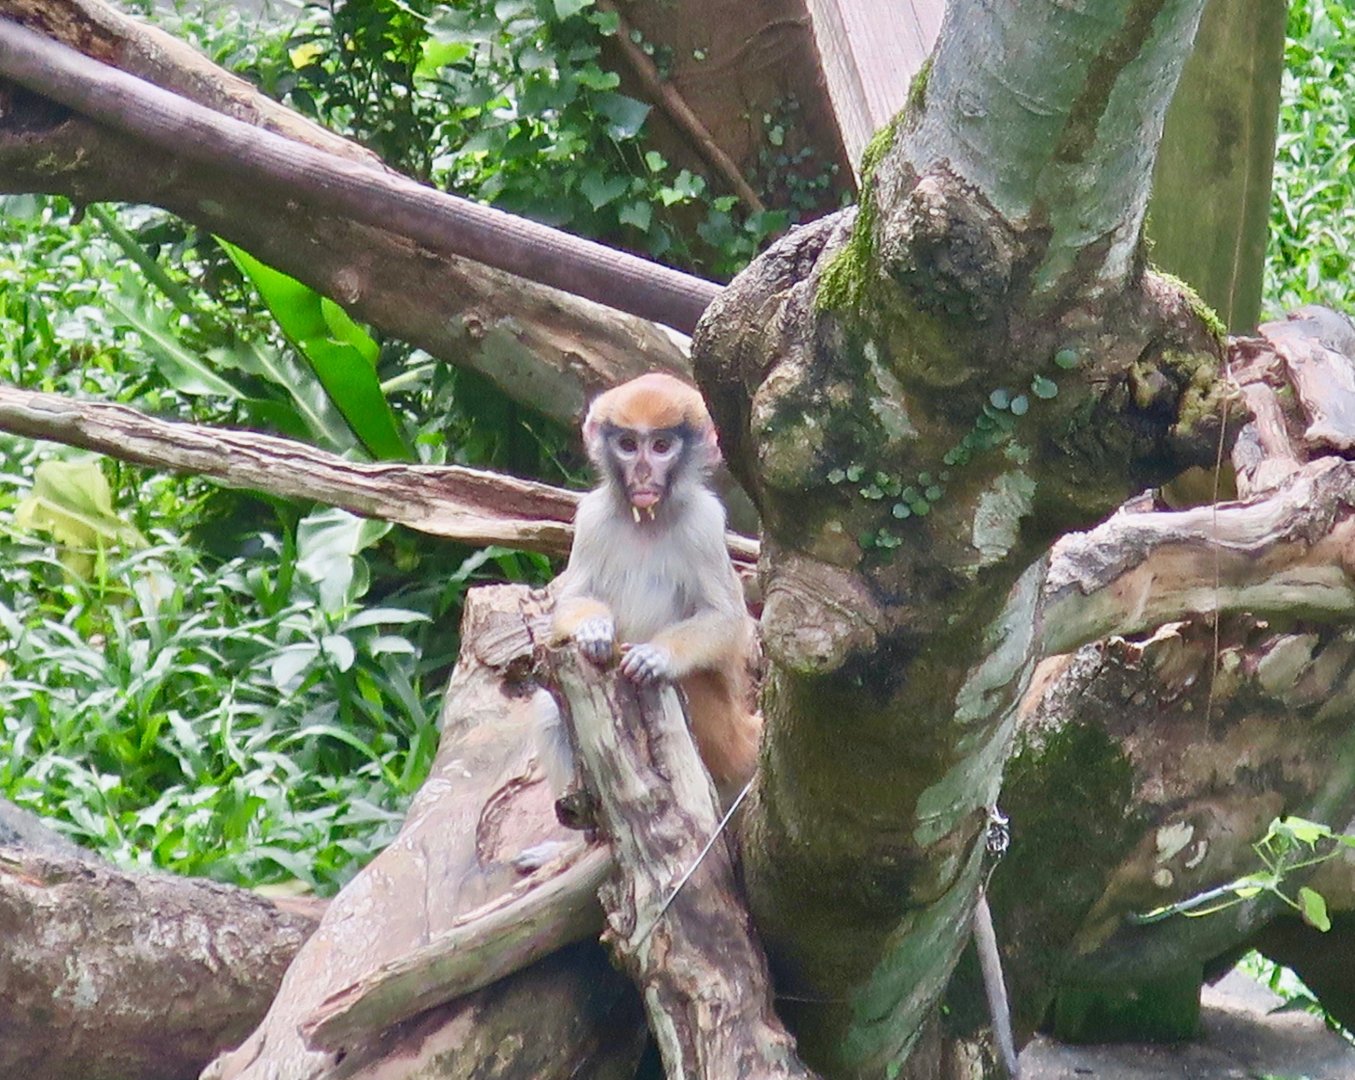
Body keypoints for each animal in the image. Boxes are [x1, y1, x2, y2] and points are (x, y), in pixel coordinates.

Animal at [549, 372, 761, 805]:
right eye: (628, 445)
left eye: (661, 446)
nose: (643, 475)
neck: (649, 518)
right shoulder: (593, 516)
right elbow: (571, 598)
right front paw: (593, 629)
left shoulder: (705, 522)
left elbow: (726, 619)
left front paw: (656, 656)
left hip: (723, 729)